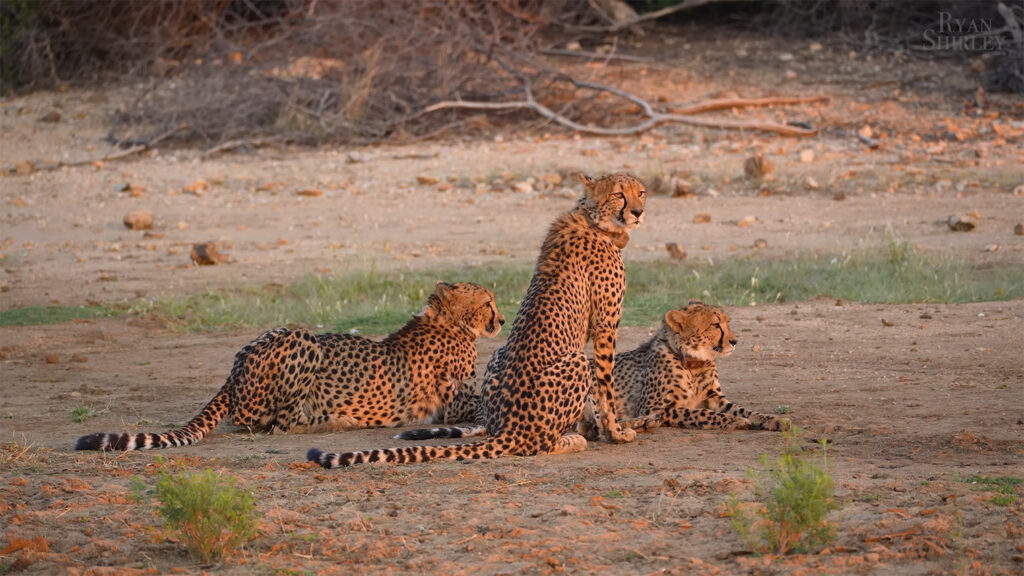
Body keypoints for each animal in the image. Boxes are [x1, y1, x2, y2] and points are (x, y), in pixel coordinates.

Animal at [73, 280, 503, 450]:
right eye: (487, 302)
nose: (500, 320)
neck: (447, 322)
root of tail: (237, 363)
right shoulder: (455, 402)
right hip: (303, 339)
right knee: (276, 424)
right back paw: (336, 421)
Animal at [307, 171, 647, 467]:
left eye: (640, 192)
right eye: (618, 194)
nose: (639, 211)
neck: (594, 221)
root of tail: (507, 429)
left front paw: (594, 427)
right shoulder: (605, 326)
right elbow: (604, 385)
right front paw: (615, 432)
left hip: (499, 352)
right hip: (573, 361)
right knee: (539, 444)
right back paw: (571, 441)